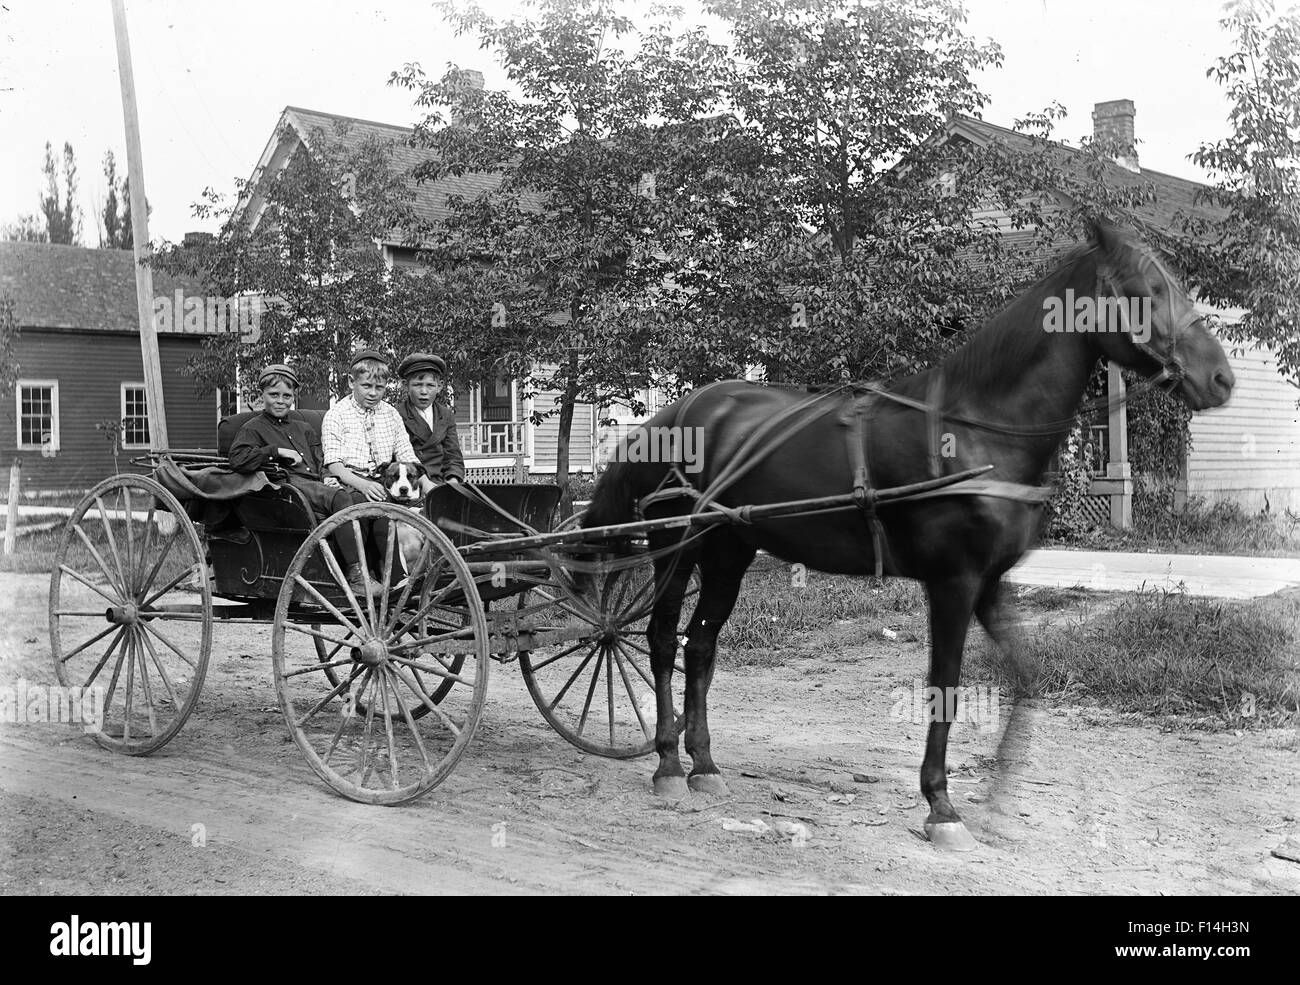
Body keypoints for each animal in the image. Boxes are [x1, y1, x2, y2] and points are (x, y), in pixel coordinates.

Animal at [585, 222, 1232, 847]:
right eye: (1148, 290)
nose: (1221, 378)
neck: (977, 430)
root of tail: (674, 415)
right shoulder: (952, 581)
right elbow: (945, 686)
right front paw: (942, 806)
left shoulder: (990, 584)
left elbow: (1026, 679)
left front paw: (997, 803)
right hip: (675, 546)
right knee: (660, 639)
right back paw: (669, 764)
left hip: (729, 551)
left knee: (700, 644)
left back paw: (705, 764)